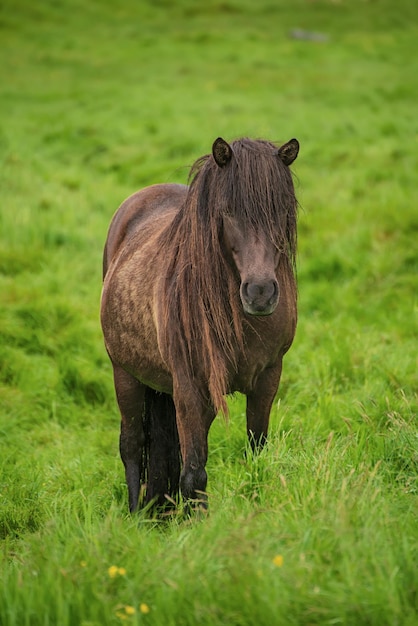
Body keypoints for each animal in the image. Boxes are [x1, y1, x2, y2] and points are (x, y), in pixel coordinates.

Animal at [100, 134, 298, 510]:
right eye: (227, 211)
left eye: (281, 210)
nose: (260, 292)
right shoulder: (191, 389)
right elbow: (194, 475)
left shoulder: (268, 377)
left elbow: (257, 454)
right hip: (125, 375)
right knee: (131, 447)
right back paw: (134, 515)